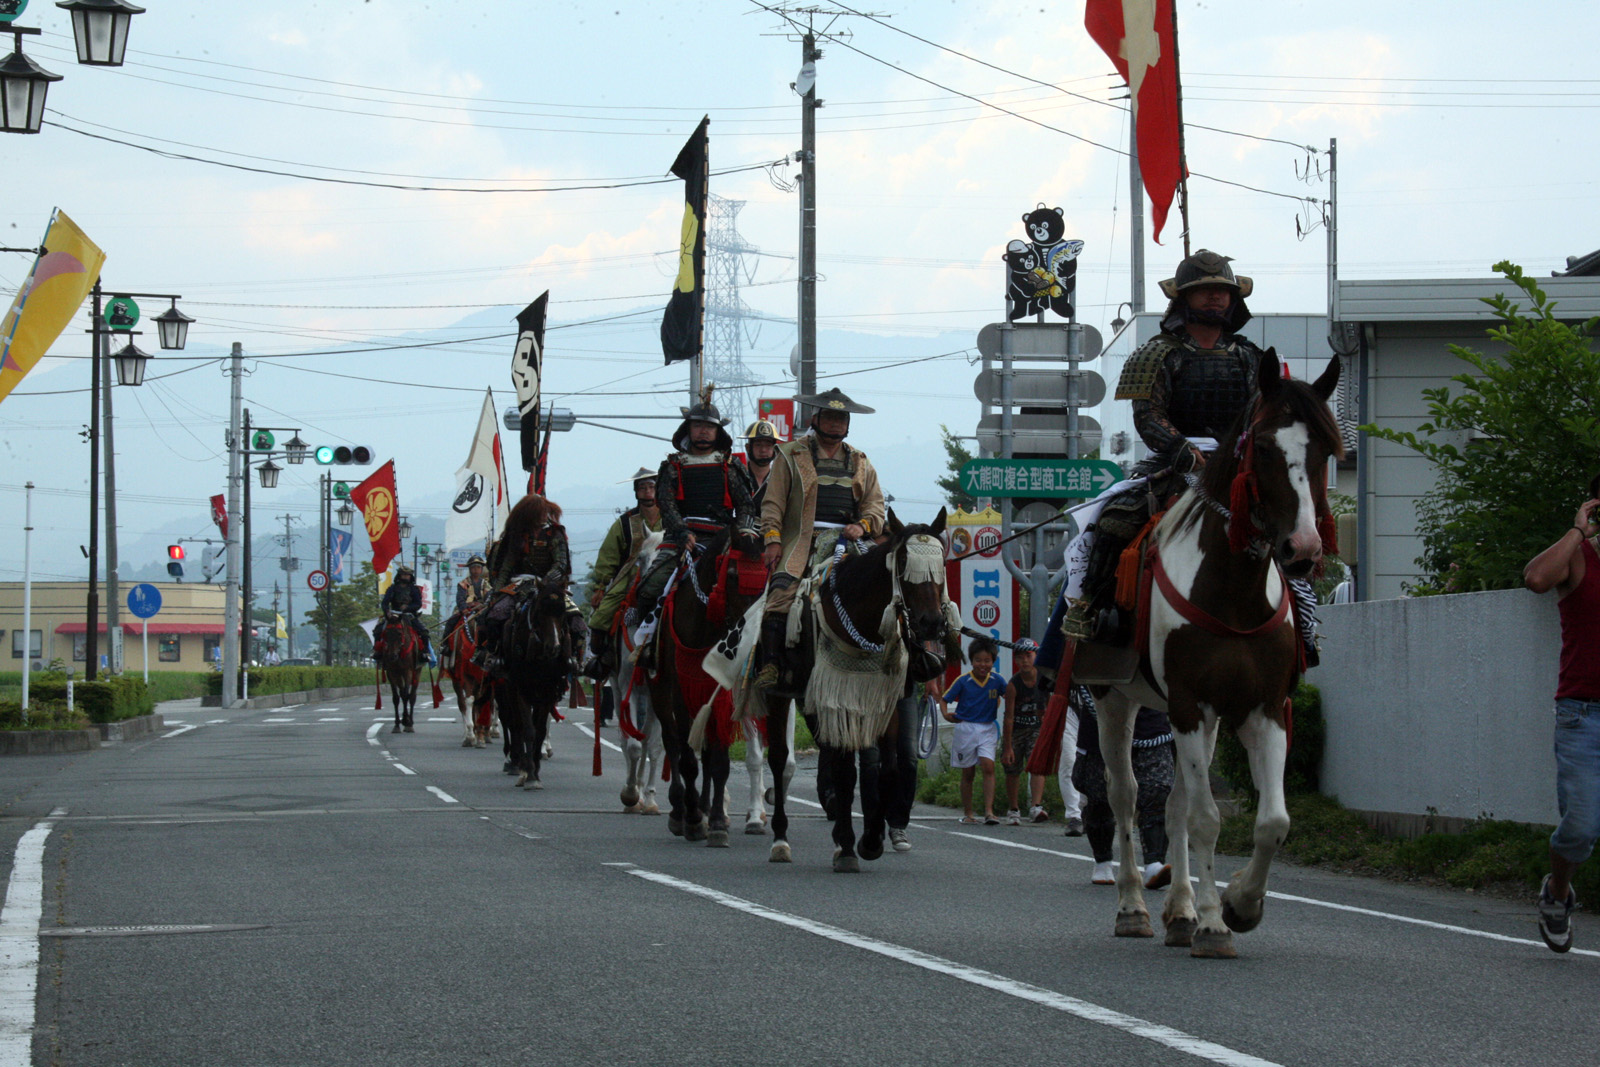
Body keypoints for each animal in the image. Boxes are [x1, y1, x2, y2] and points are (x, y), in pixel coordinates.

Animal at [376, 607, 425, 735]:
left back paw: (410, 721)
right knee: (403, 692)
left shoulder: (408, 671)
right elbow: (396, 698)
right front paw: (397, 724)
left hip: (417, 671)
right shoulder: (391, 672)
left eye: (399, 633)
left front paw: (406, 722)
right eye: (386, 633)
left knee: (412, 696)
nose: (392, 656)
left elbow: (406, 695)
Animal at [652, 521, 771, 844]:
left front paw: (716, 820)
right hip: (660, 690)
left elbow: (717, 760)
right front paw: (693, 818)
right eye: (732, 575)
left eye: (766, 576)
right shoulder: (681, 690)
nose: (752, 635)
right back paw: (680, 810)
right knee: (672, 743)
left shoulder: (720, 694)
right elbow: (686, 757)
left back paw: (705, 809)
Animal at [768, 511, 953, 870]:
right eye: (904, 563)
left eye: (941, 564)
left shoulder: (885, 699)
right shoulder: (838, 696)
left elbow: (889, 769)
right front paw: (851, 846)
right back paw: (781, 839)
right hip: (779, 693)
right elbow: (845, 772)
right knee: (779, 760)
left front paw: (870, 839)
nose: (931, 623)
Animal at [1094, 351, 1344, 959]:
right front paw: (1214, 925)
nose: (1302, 549)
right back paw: (1134, 907)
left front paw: (1238, 906)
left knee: (1174, 803)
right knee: (1124, 795)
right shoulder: (1188, 703)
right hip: (1113, 698)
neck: (1231, 591)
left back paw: (1179, 912)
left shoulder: (1263, 708)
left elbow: (1272, 820)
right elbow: (1207, 819)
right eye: (1265, 447)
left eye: (1327, 450)